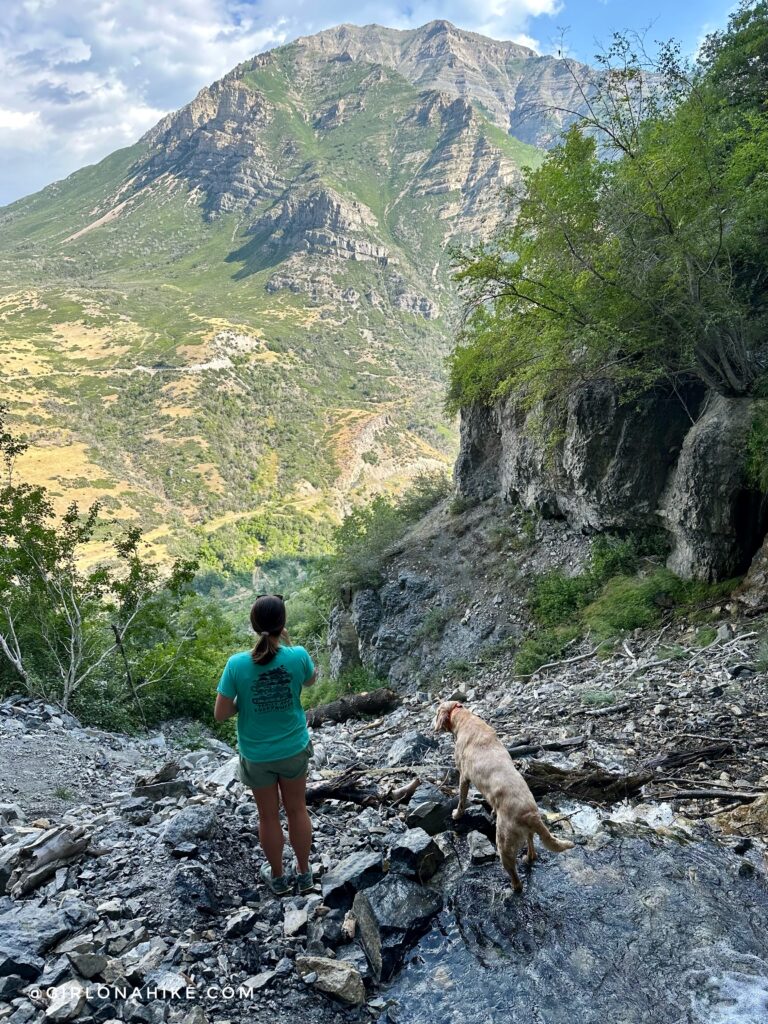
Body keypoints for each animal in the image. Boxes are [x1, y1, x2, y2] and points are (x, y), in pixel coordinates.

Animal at [436, 700, 573, 892]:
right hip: (526, 834)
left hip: (504, 845)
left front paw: (457, 814)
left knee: (516, 878)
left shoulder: (463, 777)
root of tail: (530, 815)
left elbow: (462, 800)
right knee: (531, 847)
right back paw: (528, 858)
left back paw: (513, 887)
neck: (464, 719)